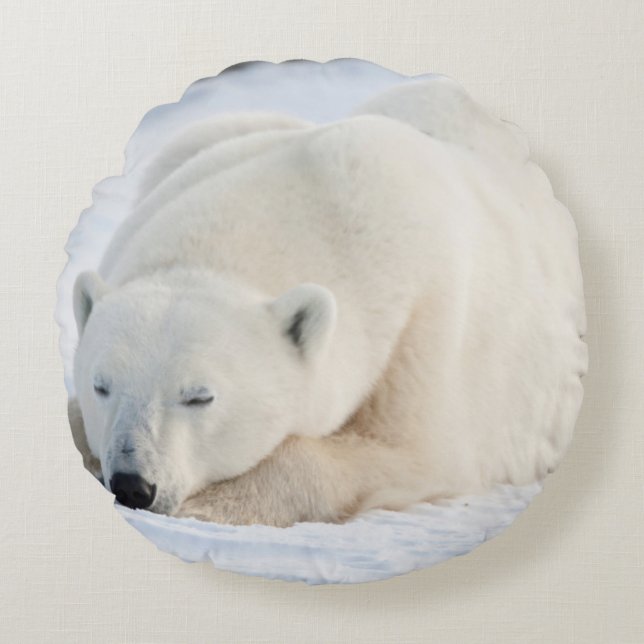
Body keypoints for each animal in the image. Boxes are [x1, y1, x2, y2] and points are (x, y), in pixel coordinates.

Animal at [69, 78, 588, 527]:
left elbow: (414, 452)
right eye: (101, 385)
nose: (133, 484)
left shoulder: (427, 326)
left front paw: (210, 504)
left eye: (200, 396)